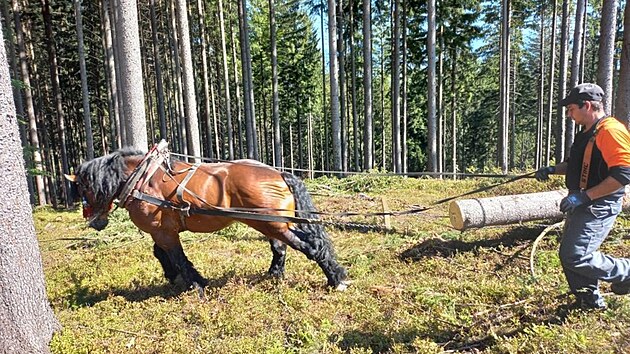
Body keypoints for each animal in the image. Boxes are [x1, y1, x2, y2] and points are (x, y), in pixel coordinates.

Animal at [66, 147, 348, 294]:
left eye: (84, 189)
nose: (95, 222)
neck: (143, 179)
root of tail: (279, 173)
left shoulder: (163, 231)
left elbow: (178, 258)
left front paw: (196, 284)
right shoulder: (163, 230)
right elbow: (160, 253)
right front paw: (172, 276)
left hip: (271, 223)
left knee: (310, 246)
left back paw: (336, 279)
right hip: (269, 223)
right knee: (281, 247)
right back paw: (275, 274)